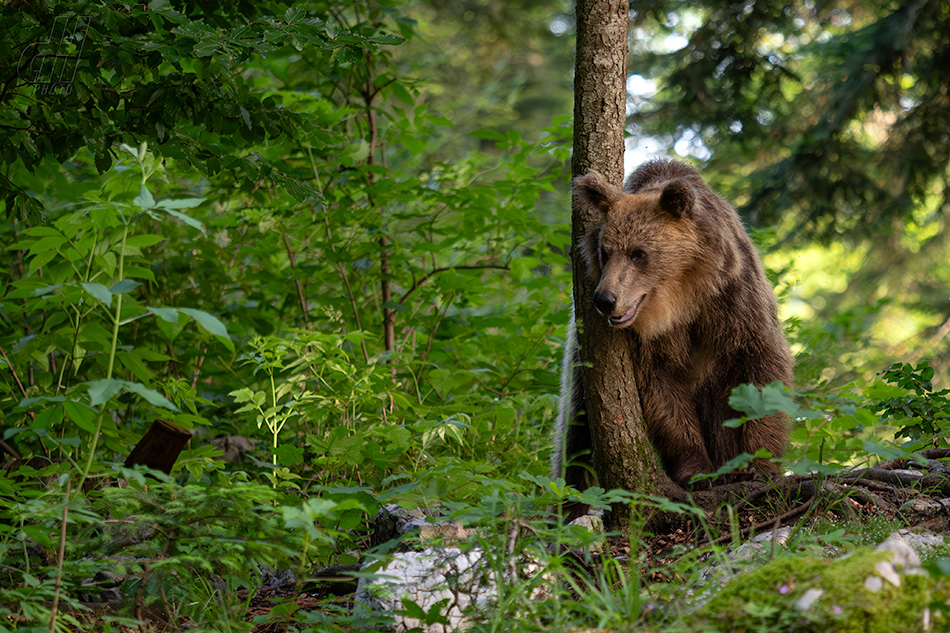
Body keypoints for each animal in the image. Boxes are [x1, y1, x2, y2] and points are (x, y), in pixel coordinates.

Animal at [556, 159, 792, 504]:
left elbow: (761, 368)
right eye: (604, 251)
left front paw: (758, 465)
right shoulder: (648, 343)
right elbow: (662, 395)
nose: (605, 299)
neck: (681, 299)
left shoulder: (734, 302)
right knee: (576, 434)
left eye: (638, 253)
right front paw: (698, 474)